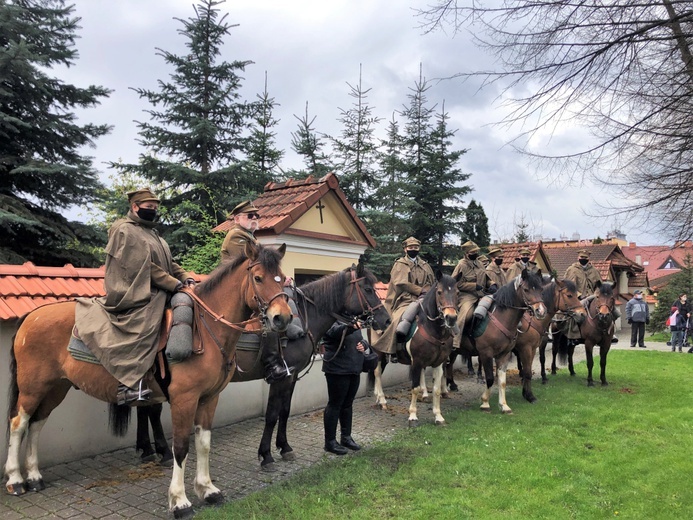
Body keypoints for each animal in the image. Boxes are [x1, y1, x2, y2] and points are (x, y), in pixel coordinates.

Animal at [2, 242, 290, 516]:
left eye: (282, 278)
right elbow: (181, 447)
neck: (207, 331)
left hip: (55, 388)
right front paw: (180, 501)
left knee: (37, 423)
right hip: (32, 388)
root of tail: (31, 315)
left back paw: (35, 476)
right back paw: (15, 480)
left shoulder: (209, 399)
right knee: (19, 423)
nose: (282, 318)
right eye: (259, 278)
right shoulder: (184, 399)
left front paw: (208, 490)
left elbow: (204, 444)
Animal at [134, 264, 390, 472]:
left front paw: (284, 447)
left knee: (145, 409)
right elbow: (271, 415)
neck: (305, 316)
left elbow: (285, 411)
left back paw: (147, 449)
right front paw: (266, 455)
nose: (386, 320)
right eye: (368, 289)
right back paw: (162, 451)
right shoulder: (280, 377)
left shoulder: (291, 376)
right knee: (152, 411)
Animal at [370, 272, 456, 426]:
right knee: (377, 373)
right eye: (439, 292)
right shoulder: (417, 362)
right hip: (378, 352)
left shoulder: (439, 363)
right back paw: (383, 400)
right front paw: (413, 415)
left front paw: (438, 416)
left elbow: (436, 390)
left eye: (457, 292)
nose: (451, 318)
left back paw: (379, 399)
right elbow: (415, 388)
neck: (432, 329)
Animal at [456, 272, 548, 414]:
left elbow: (502, 380)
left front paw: (504, 405)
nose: (541, 311)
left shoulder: (504, 354)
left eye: (541, 289)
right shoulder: (487, 353)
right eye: (526, 289)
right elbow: (490, 378)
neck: (501, 318)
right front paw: (485, 403)